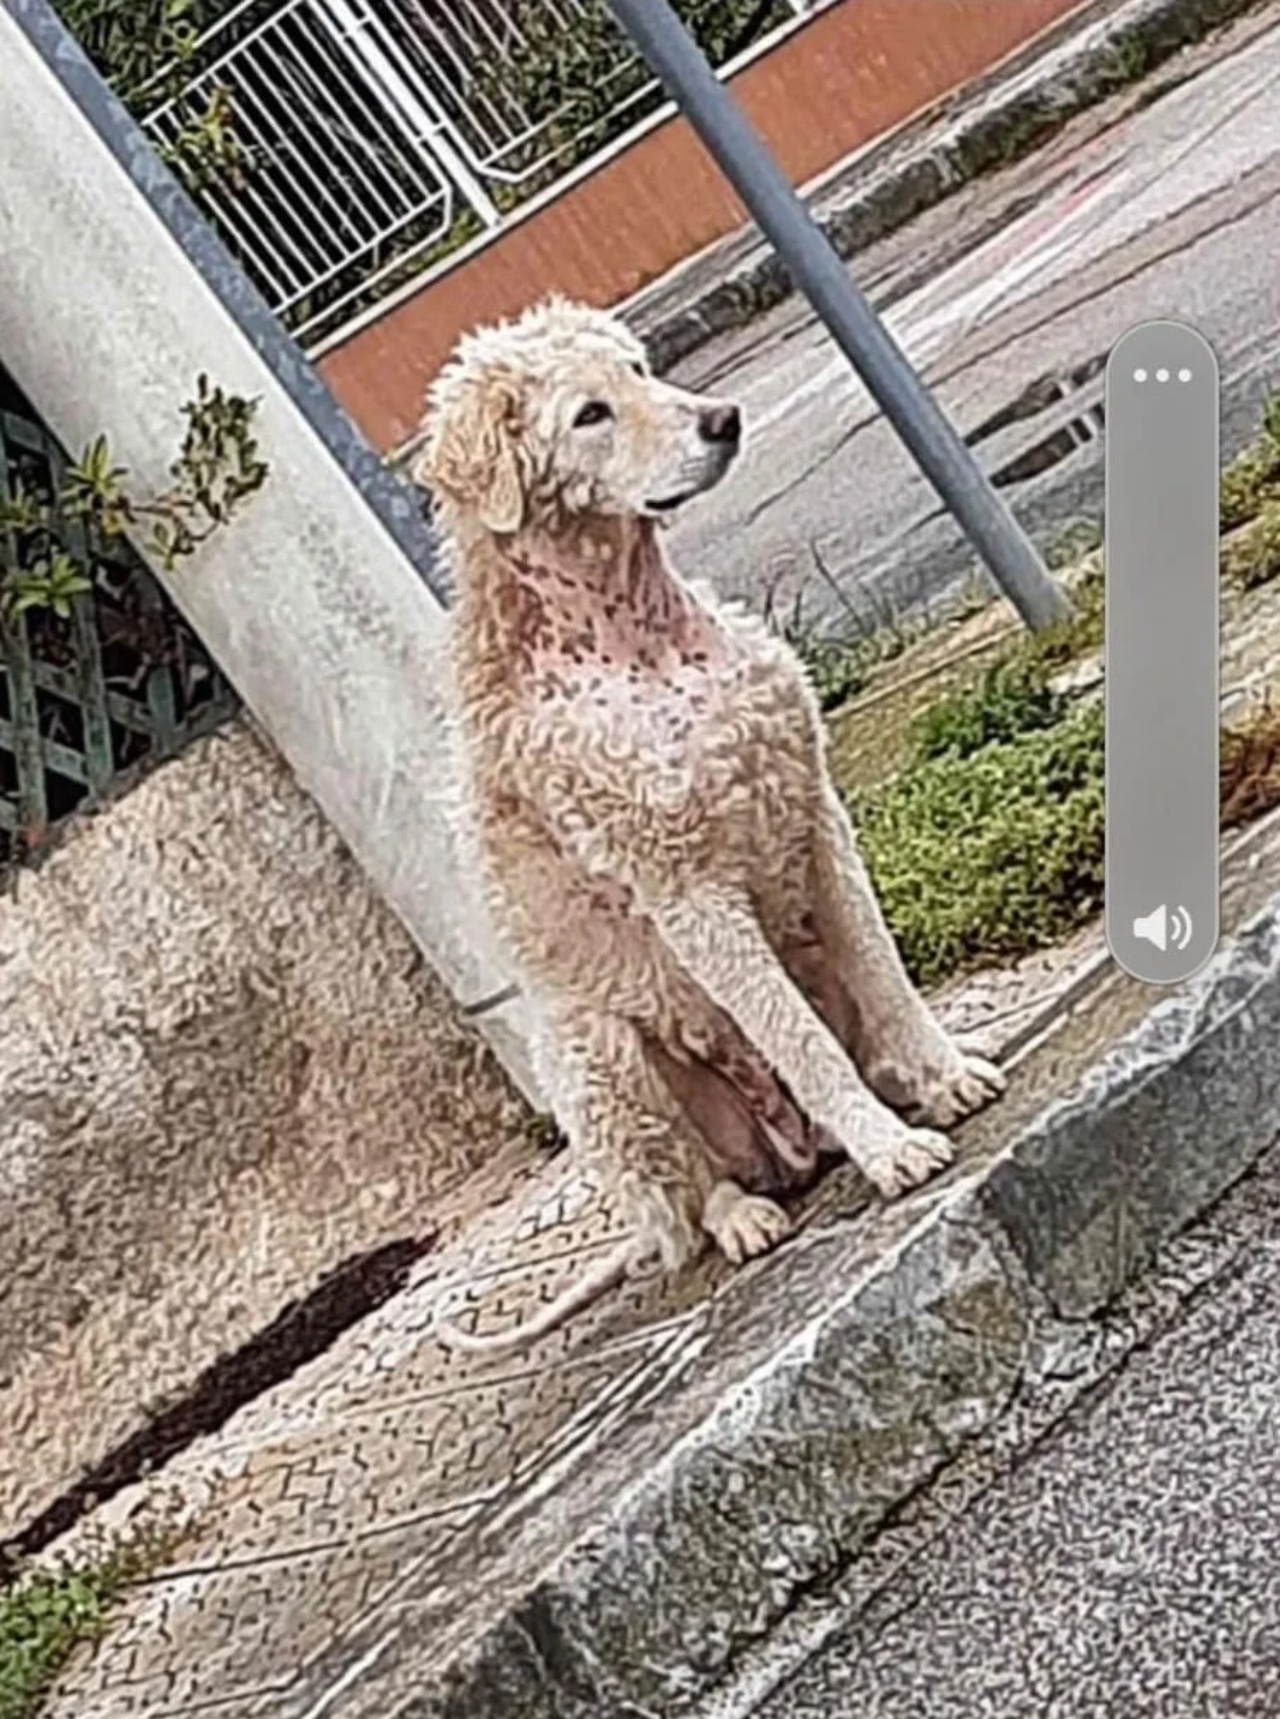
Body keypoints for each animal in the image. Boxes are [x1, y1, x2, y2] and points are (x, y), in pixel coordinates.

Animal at [414, 295, 1003, 1347]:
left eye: (641, 369)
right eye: (589, 414)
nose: (722, 420)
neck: (641, 641)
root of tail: (787, 1153)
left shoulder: (814, 813)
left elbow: (886, 975)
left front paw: (941, 1074)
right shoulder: (691, 895)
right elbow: (797, 1043)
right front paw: (889, 1150)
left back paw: (902, 1082)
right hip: (597, 1058)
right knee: (684, 1196)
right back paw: (742, 1214)